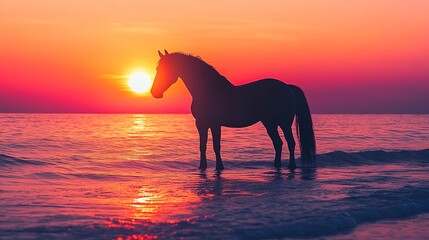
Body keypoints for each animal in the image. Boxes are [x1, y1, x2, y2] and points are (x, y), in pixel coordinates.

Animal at [150, 50, 314, 171]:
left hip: (284, 123)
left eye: (166, 69)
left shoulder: (215, 124)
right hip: (270, 123)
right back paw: (276, 166)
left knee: (290, 143)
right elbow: (202, 145)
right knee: (278, 143)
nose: (154, 92)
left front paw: (219, 167)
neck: (208, 91)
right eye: (158, 69)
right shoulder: (201, 124)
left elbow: (216, 146)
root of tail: (288, 87)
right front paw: (202, 167)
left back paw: (291, 166)